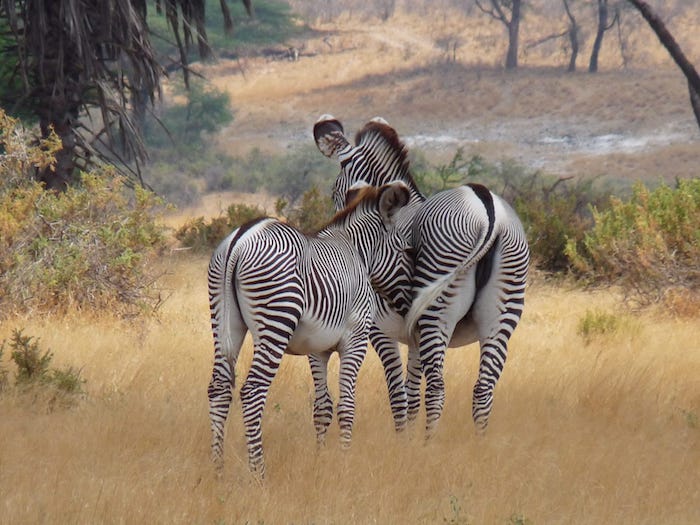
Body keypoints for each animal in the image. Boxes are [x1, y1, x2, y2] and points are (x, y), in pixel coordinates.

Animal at [207, 181, 412, 477]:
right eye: (408, 251)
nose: (410, 304)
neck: (359, 254)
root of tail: (241, 238)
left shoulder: (318, 349)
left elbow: (322, 407)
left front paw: (320, 461)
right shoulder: (356, 338)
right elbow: (347, 405)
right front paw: (344, 463)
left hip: (223, 319)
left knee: (219, 389)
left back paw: (218, 471)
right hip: (276, 319)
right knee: (253, 391)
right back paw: (259, 473)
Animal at [314, 115, 530, 437]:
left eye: (334, 192)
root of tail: (487, 208)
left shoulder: (380, 330)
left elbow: (399, 394)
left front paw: (403, 442)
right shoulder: (413, 338)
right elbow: (412, 393)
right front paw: (408, 442)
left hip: (436, 310)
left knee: (438, 388)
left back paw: (430, 444)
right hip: (503, 308)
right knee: (483, 389)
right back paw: (479, 444)